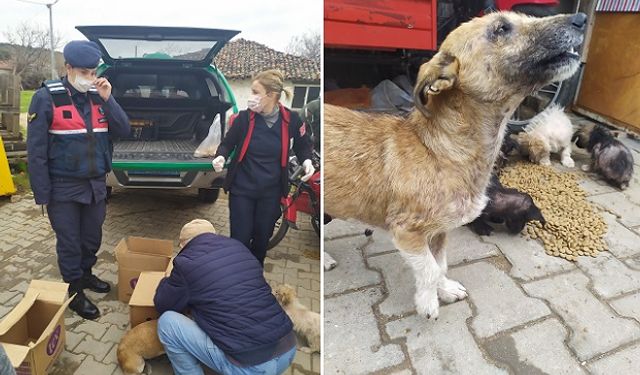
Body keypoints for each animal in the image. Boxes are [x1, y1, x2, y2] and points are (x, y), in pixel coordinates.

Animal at [324, 11, 584, 320]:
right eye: (501, 28)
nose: (581, 18)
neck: (441, 150)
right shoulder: (407, 233)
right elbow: (429, 269)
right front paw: (428, 303)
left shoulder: (438, 231)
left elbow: (440, 265)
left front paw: (446, 290)